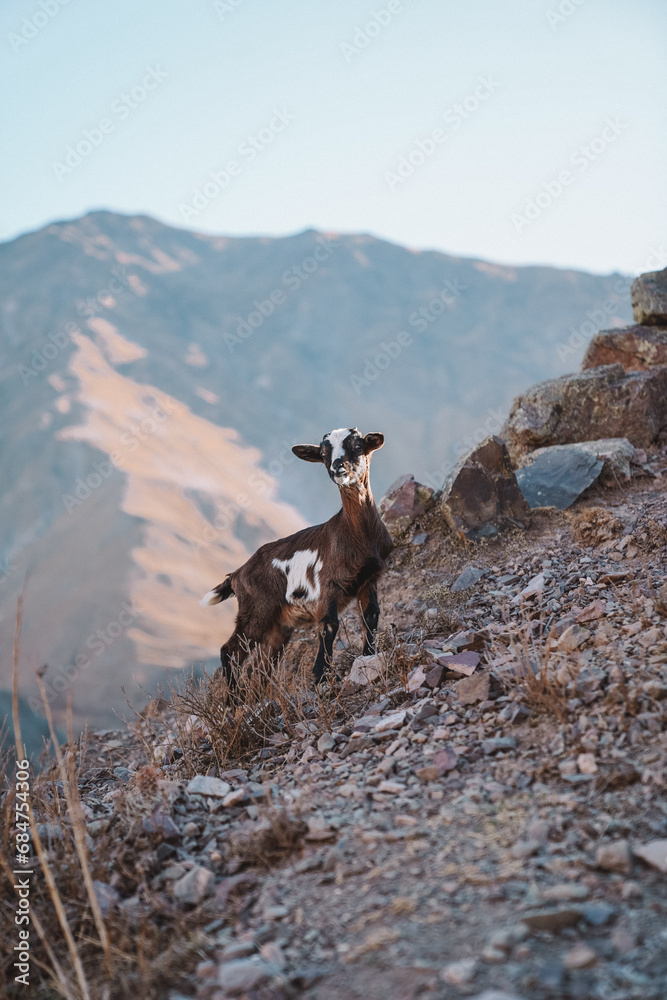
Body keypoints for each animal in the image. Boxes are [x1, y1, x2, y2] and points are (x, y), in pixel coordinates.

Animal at [201, 428, 392, 687]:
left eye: (357, 446)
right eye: (324, 454)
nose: (337, 467)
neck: (356, 534)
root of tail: (236, 574)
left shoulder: (369, 578)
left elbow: (371, 616)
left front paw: (369, 656)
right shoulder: (328, 583)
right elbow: (329, 625)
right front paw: (321, 675)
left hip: (278, 626)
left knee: (260, 668)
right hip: (257, 611)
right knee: (229, 651)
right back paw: (234, 697)